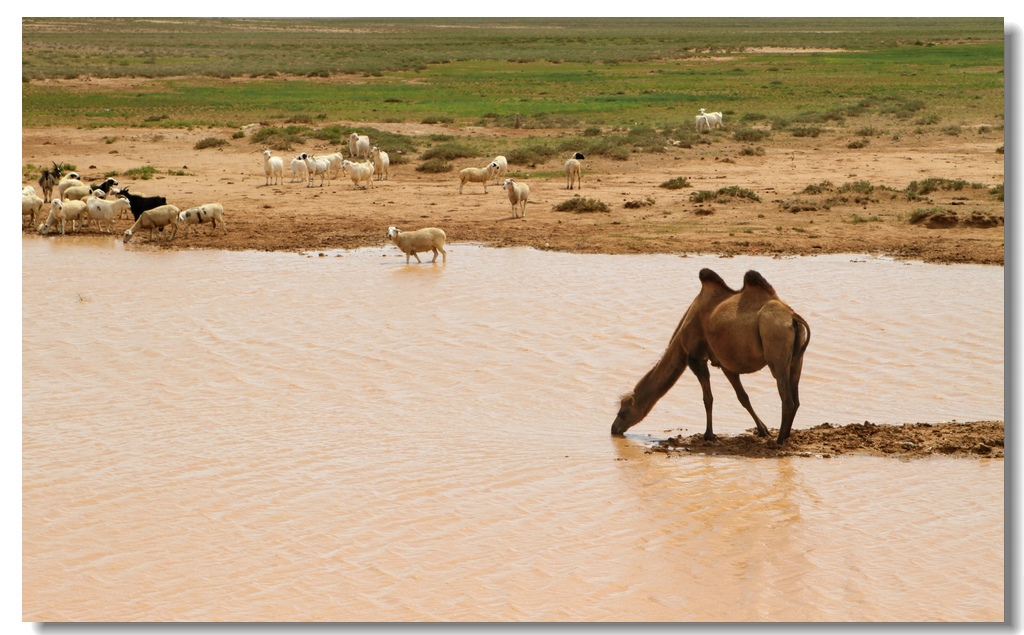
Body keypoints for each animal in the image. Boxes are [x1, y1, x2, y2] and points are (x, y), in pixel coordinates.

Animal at [610, 268, 811, 446]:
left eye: (622, 412)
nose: (614, 428)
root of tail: (793, 317)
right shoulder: (725, 363)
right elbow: (743, 397)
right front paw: (763, 430)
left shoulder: (695, 357)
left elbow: (708, 398)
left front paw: (708, 435)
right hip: (796, 358)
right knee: (795, 397)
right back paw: (785, 436)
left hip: (775, 347)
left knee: (787, 399)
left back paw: (778, 441)